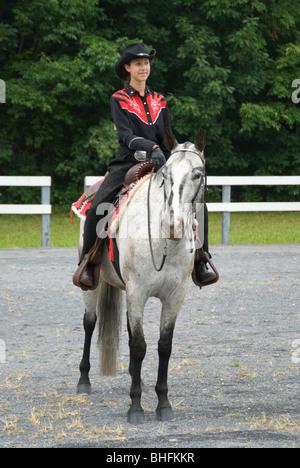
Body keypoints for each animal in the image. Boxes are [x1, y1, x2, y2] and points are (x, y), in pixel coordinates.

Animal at [75, 128, 206, 424]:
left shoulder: (174, 297)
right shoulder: (137, 293)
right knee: (90, 324)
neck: (164, 242)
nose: (174, 225)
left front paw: (163, 403)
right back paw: (84, 380)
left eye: (198, 174)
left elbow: (163, 346)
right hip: (93, 287)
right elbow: (138, 346)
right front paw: (135, 407)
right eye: (166, 175)